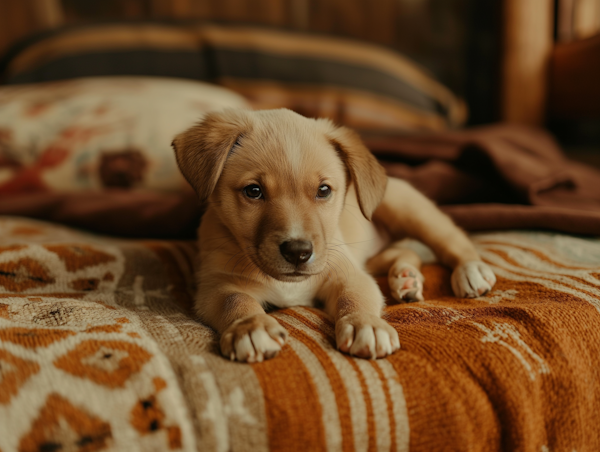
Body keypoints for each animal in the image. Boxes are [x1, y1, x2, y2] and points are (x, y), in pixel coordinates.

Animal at [171, 109, 494, 364]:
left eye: (323, 190)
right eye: (253, 191)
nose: (298, 252)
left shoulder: (347, 272)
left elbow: (355, 298)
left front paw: (366, 324)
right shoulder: (215, 285)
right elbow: (235, 301)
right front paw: (252, 327)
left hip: (409, 209)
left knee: (452, 240)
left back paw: (471, 271)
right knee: (404, 252)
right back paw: (406, 279)